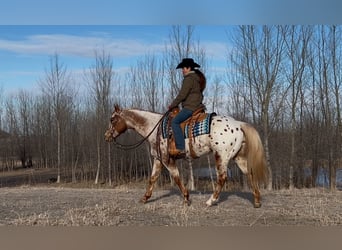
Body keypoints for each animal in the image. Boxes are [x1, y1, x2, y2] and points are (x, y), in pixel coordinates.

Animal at [103, 103, 268, 207]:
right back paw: (257, 201)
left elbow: (176, 177)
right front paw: (144, 198)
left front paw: (187, 199)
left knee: (222, 178)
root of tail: (239, 124)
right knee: (250, 174)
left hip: (221, 156)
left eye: (112, 119)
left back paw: (210, 201)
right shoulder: (158, 159)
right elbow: (152, 179)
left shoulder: (167, 160)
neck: (154, 128)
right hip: (239, 157)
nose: (107, 136)